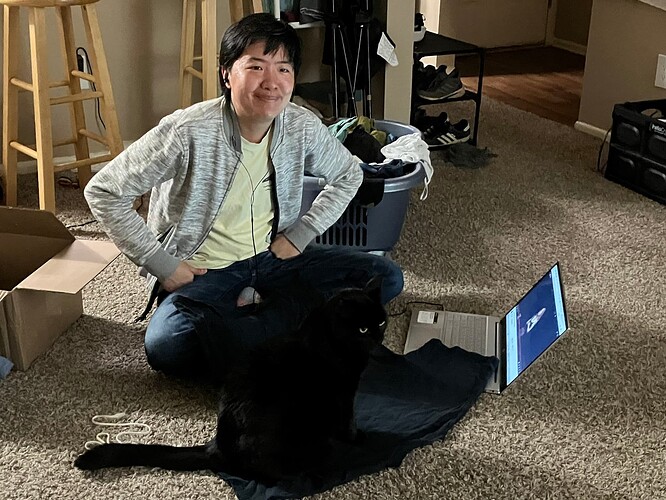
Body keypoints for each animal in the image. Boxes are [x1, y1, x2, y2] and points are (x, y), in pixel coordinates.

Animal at [73, 278, 386, 484]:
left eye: (381, 322)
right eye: (362, 328)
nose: (377, 337)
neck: (330, 339)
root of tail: (217, 448)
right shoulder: (344, 392)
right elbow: (348, 421)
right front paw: (358, 437)